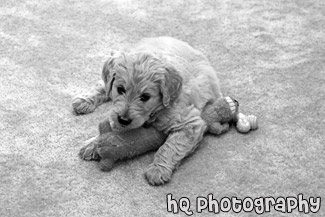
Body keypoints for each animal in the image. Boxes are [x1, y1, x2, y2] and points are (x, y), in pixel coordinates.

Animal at [72, 36, 221, 185]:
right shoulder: (117, 113)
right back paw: (83, 100)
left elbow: (171, 146)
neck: (156, 111)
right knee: (104, 85)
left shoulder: (189, 123)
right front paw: (93, 144)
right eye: (120, 89)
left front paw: (158, 169)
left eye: (145, 97)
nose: (123, 120)